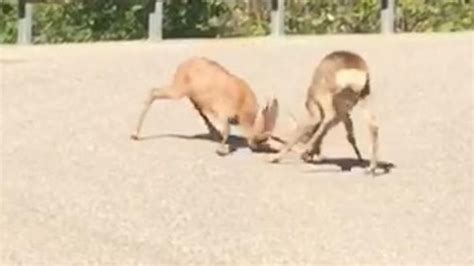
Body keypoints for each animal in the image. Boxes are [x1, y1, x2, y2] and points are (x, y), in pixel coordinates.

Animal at [130, 56, 280, 156]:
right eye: (261, 138)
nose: (257, 147)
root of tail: (182, 66)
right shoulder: (223, 110)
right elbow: (226, 129)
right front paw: (221, 150)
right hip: (179, 89)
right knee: (154, 92)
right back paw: (135, 134)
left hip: (192, 95)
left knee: (199, 110)